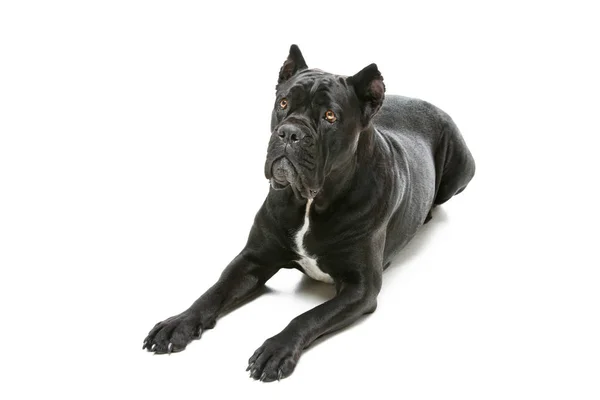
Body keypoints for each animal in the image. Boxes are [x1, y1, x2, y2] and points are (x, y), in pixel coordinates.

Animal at [143, 43, 476, 382]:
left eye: (330, 116)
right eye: (283, 103)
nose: (289, 133)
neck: (308, 203)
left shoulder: (360, 288)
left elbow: (308, 317)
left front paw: (276, 350)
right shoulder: (253, 258)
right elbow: (214, 291)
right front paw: (178, 323)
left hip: (462, 169)